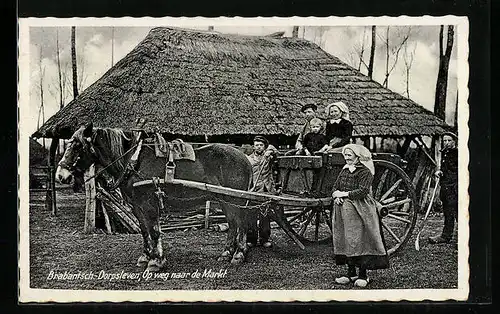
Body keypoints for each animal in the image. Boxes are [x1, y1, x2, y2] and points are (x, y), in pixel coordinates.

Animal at [55, 124, 254, 272]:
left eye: (78, 146)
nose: (60, 175)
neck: (133, 161)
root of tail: (244, 157)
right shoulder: (137, 206)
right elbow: (145, 231)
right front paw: (145, 257)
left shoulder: (149, 205)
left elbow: (155, 231)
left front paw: (156, 262)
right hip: (224, 199)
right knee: (233, 224)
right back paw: (227, 253)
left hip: (235, 200)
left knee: (241, 223)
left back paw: (238, 254)